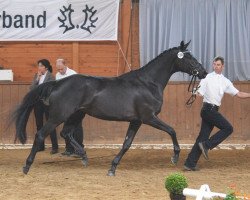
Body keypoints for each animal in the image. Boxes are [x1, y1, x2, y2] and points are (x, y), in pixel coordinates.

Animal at [14, 40, 207, 175]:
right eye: (188, 57)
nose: (203, 72)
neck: (147, 83)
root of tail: (57, 83)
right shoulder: (149, 117)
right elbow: (172, 130)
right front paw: (175, 156)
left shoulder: (136, 121)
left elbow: (127, 143)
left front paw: (112, 167)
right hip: (58, 116)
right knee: (41, 134)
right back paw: (26, 166)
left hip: (76, 115)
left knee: (66, 133)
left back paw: (84, 156)